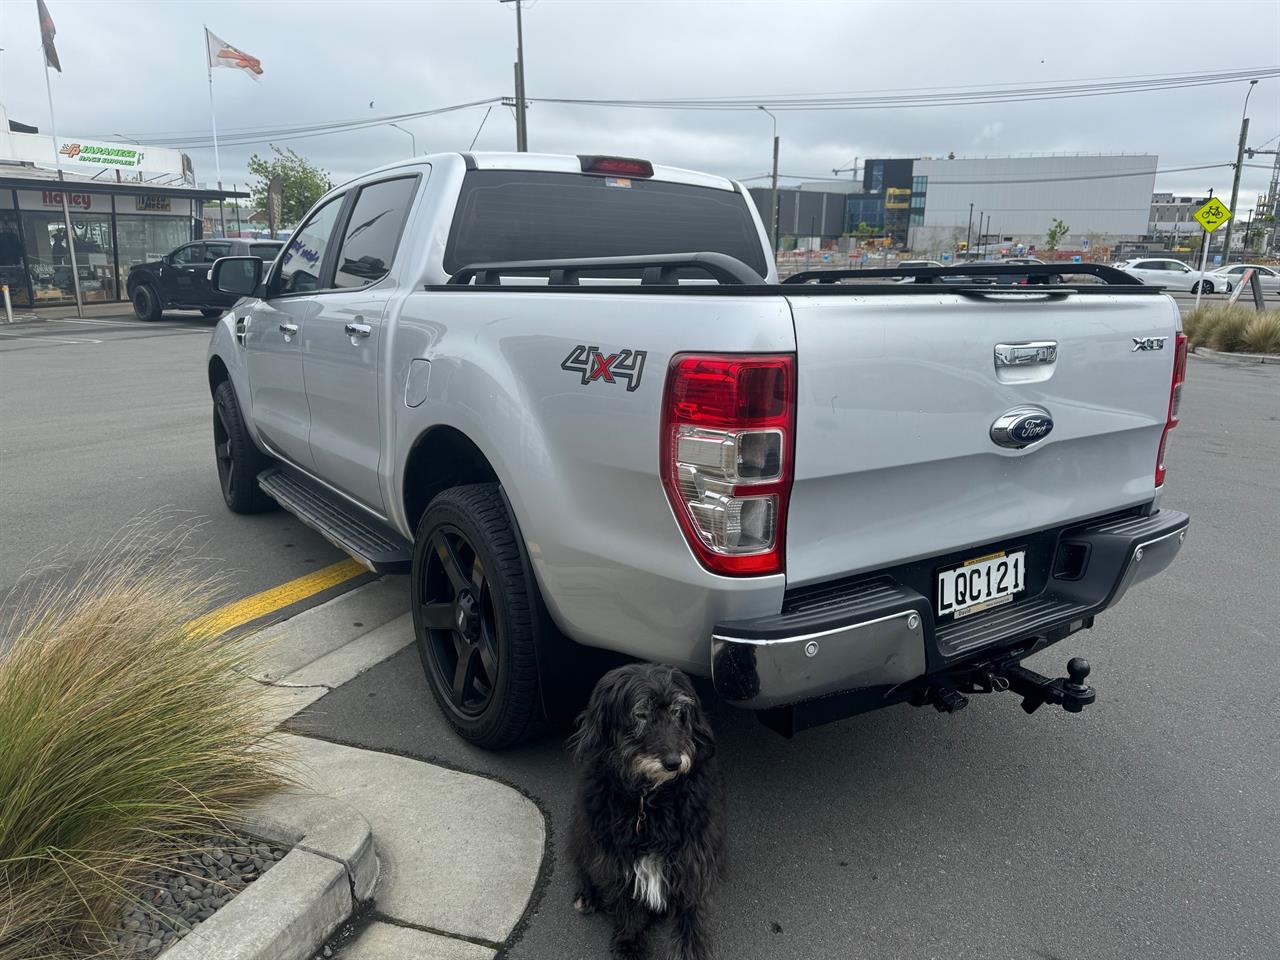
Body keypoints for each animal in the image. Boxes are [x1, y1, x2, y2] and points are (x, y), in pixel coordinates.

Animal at [570, 665, 732, 960]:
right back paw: (587, 895)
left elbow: (690, 914)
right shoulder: (615, 859)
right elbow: (627, 907)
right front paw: (629, 944)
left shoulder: (692, 857)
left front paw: (691, 951)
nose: (673, 762)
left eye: (678, 711)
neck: (649, 799)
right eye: (641, 714)